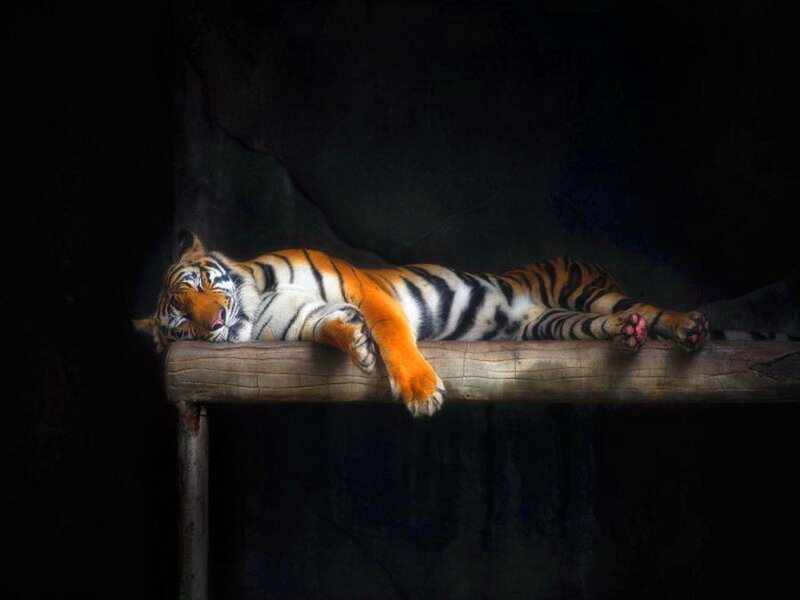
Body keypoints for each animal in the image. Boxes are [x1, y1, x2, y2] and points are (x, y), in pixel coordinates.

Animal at [134, 230, 712, 417]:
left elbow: (392, 332)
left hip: (583, 290)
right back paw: (626, 333)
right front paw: (356, 344)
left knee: (647, 308)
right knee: (615, 322)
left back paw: (689, 327)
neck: (257, 304)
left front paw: (419, 390)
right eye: (180, 320)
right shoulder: (302, 316)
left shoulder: (367, 291)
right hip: (553, 323)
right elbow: (327, 325)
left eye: (201, 287)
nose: (213, 323)